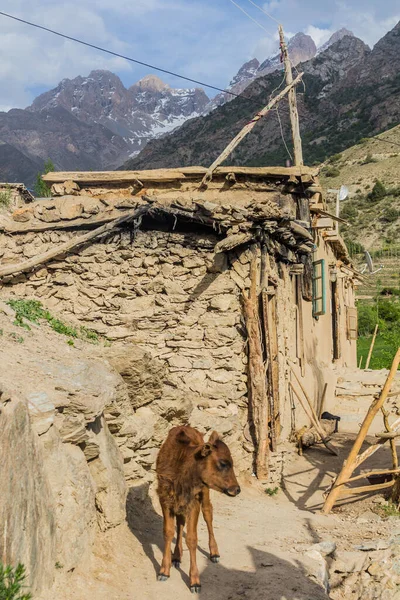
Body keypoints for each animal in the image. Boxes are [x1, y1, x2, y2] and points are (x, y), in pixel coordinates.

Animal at [155, 424, 239, 592]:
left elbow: (192, 538)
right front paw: (164, 571)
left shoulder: (193, 503)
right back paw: (177, 556)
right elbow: (168, 532)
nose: (237, 489)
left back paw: (214, 553)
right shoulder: (165, 500)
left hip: (205, 493)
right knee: (181, 523)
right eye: (223, 463)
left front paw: (195, 582)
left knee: (208, 513)